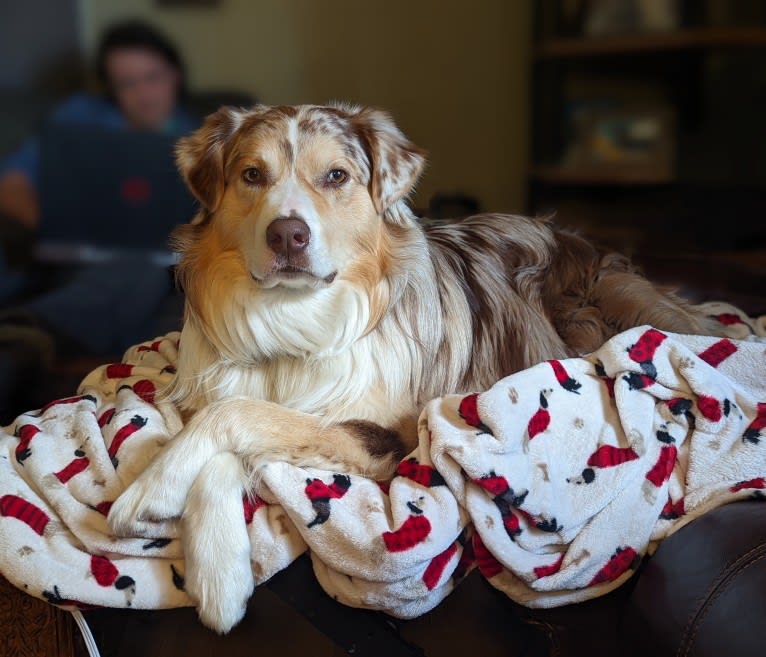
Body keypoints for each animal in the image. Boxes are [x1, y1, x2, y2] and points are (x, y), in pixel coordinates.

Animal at [108, 102, 728, 632]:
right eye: (252, 175)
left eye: (336, 176)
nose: (287, 234)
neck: (294, 320)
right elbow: (227, 424)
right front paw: (218, 576)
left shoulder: (388, 436)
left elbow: (238, 415)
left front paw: (150, 488)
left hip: (616, 305)